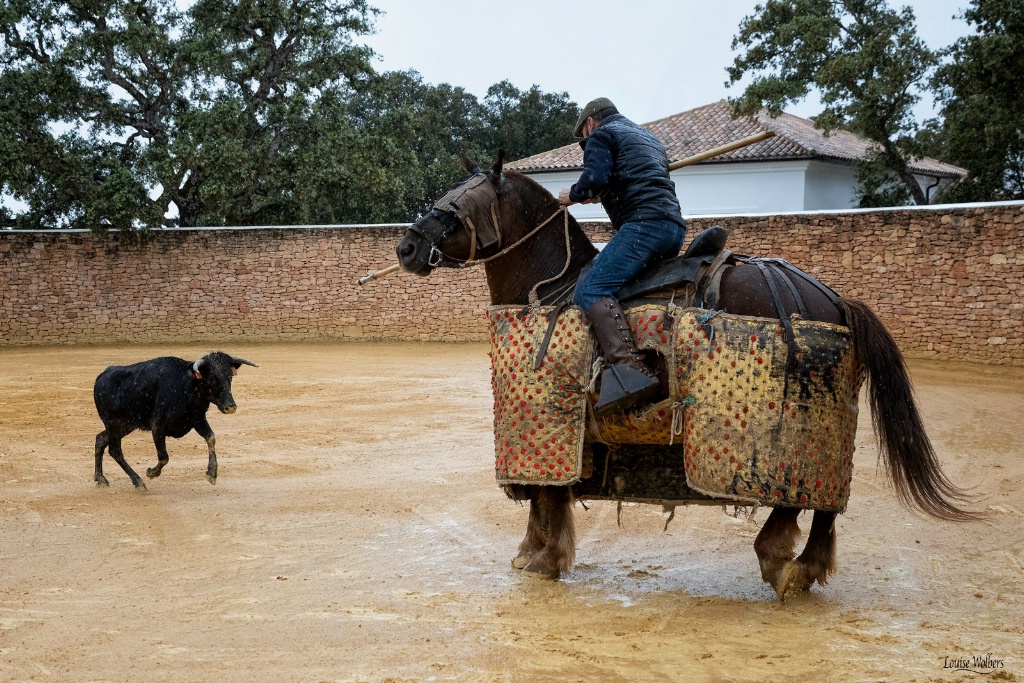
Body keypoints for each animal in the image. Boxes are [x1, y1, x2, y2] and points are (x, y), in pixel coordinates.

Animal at [393, 153, 974, 598]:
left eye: (453, 204)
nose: (406, 247)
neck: (553, 287)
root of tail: (835, 300)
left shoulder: (548, 420)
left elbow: (548, 490)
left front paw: (542, 559)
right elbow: (549, 491)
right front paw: (532, 550)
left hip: (809, 429)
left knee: (814, 499)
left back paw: (788, 567)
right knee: (814, 504)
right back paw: (788, 562)